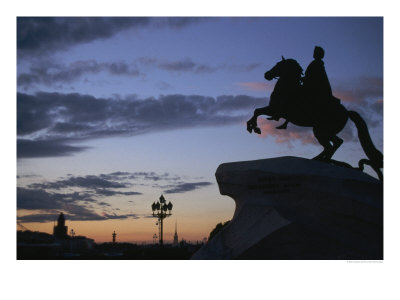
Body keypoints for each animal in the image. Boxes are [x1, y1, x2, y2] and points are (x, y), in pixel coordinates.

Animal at [245, 58, 382, 180]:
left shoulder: (275, 109)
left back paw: (322, 160)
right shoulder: (274, 111)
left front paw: (253, 127)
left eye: (279, 65)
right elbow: (257, 111)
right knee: (334, 144)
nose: (266, 74)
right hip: (325, 131)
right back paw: (321, 159)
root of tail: (346, 112)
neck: (288, 88)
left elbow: (257, 111)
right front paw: (252, 126)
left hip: (321, 130)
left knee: (332, 144)